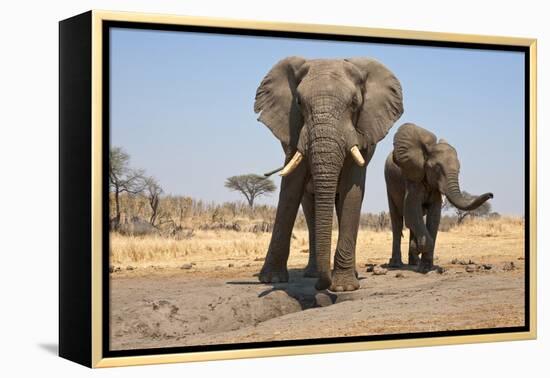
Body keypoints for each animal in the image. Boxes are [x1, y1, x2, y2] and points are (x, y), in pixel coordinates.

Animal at [256, 56, 406, 292]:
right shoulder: (293, 130)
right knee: (310, 209)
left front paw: (344, 288)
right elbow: (290, 189)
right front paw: (271, 280)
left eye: (354, 103)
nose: (321, 286)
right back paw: (312, 273)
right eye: (299, 103)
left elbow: (352, 190)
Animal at [384, 122, 496, 274]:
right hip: (389, 184)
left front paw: (426, 267)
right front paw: (419, 251)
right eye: (437, 168)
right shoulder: (412, 178)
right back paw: (396, 264)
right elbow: (411, 211)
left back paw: (414, 262)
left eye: (459, 170)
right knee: (398, 222)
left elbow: (434, 216)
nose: (491, 194)